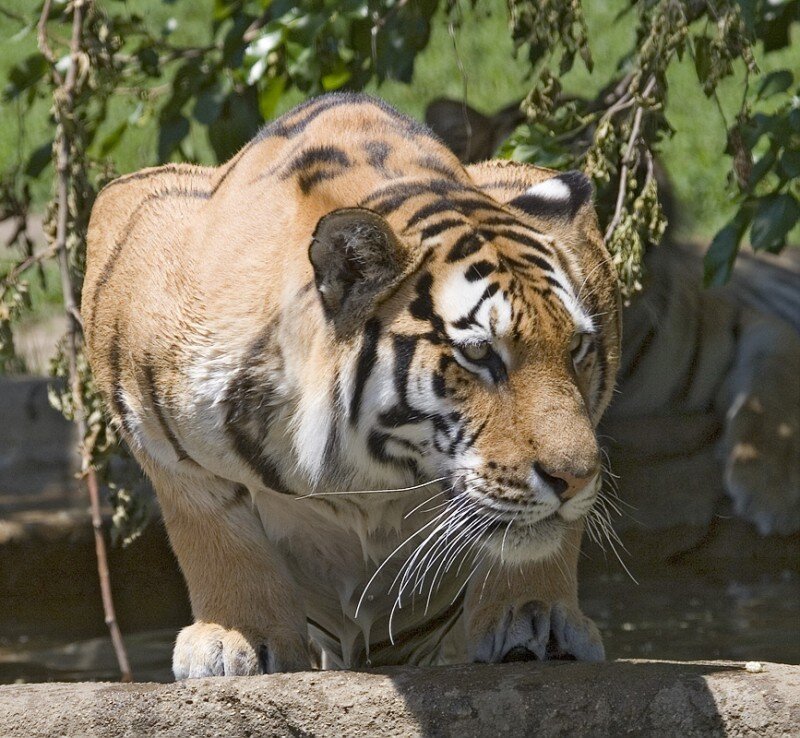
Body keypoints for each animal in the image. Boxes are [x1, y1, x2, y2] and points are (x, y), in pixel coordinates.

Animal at [82, 92, 620, 677]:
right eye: (479, 353)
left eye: (576, 348)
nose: (574, 480)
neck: (367, 473)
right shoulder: (149, 394)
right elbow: (213, 529)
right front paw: (234, 637)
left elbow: (542, 540)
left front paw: (537, 613)